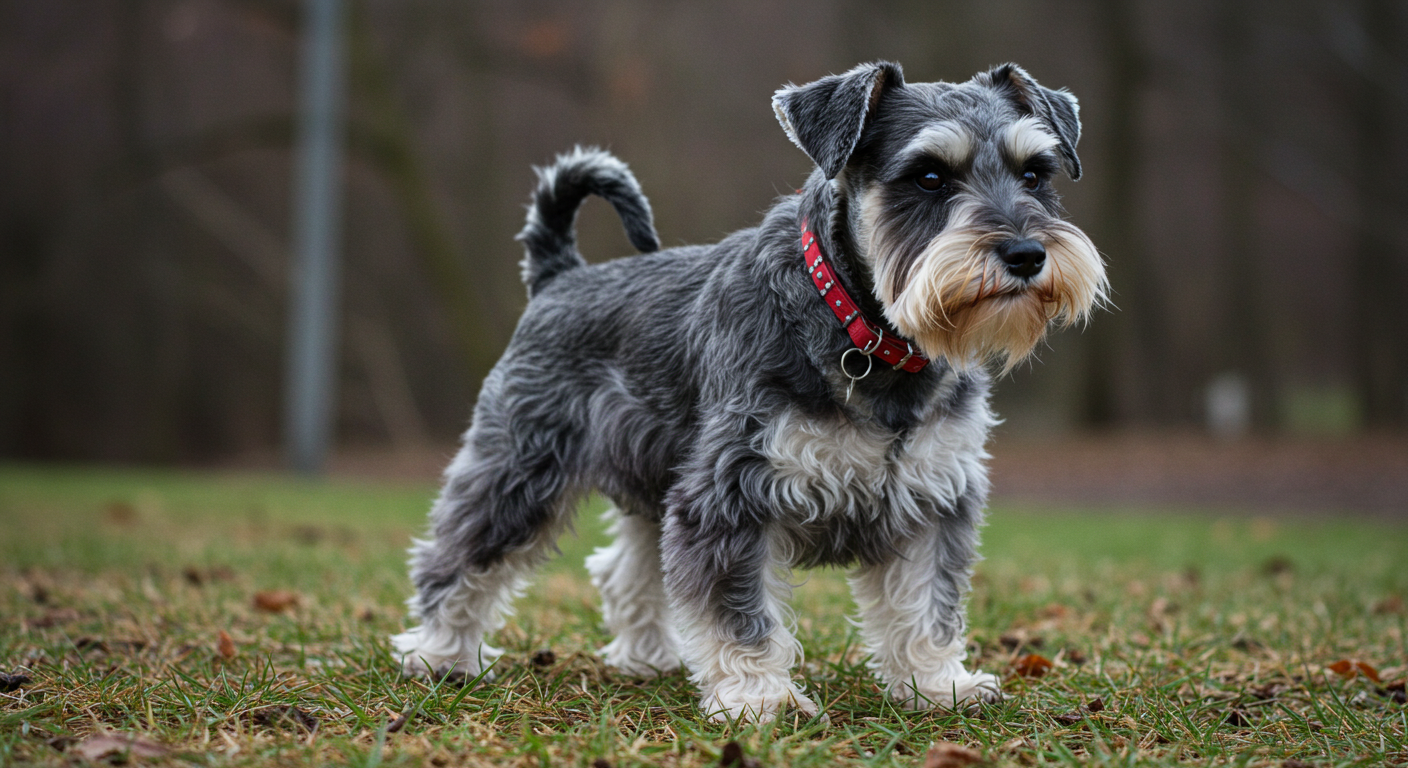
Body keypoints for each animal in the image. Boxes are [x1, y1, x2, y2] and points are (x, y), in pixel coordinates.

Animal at [391, 61, 1103, 727]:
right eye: (928, 176)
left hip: (650, 477)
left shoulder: (933, 497)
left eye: (1036, 173)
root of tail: (559, 277)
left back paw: (647, 656)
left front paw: (938, 685)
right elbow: (739, 612)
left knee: (623, 572)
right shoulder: (730, 496)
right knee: (457, 556)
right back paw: (439, 654)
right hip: (520, 466)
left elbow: (929, 603)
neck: (868, 334)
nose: (1025, 253)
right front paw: (760, 698)